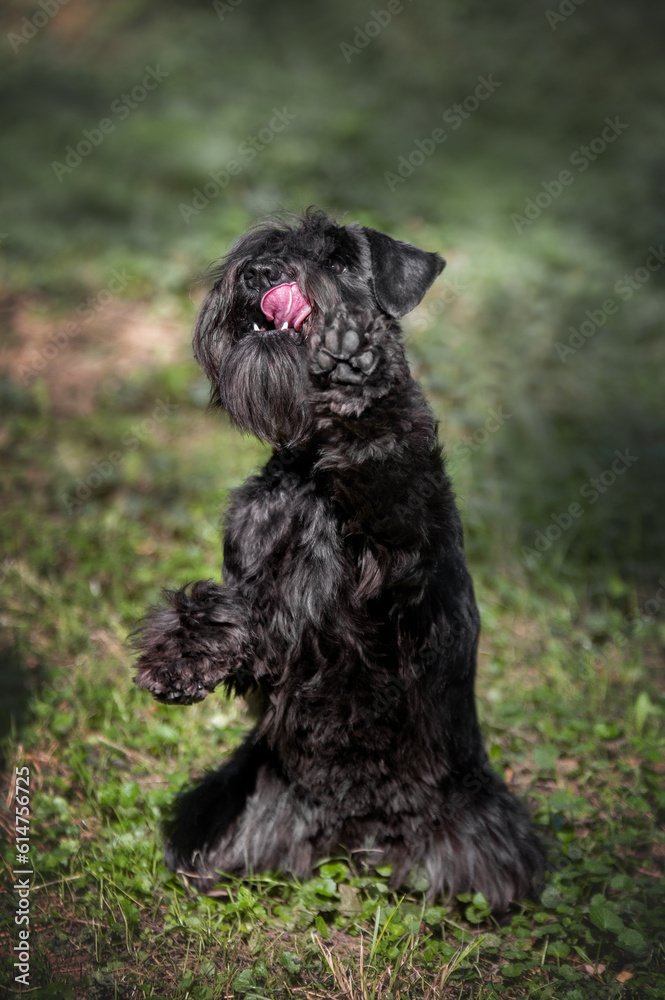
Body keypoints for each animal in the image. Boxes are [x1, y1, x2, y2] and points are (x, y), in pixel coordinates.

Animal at [132, 209, 544, 908]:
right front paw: (178, 659)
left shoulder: (404, 568)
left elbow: (387, 460)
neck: (312, 471)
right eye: (262, 245)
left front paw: (356, 368)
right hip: (232, 800)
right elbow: (227, 612)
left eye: (341, 258)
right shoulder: (262, 591)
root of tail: (353, 840)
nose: (261, 275)